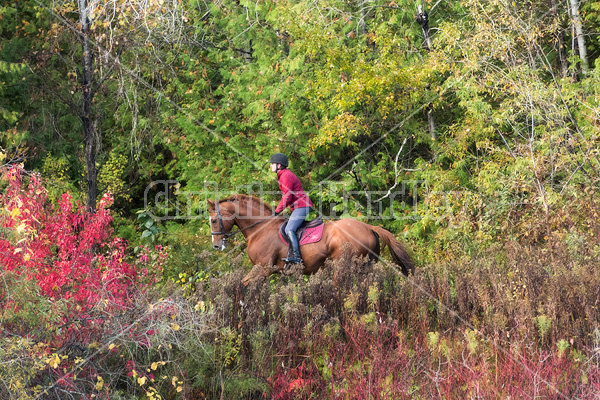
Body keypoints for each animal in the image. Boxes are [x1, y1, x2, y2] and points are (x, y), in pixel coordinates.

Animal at [207, 194, 412, 284]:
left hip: (343, 266)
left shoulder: (262, 269)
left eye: (214, 220)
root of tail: (369, 227)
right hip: (365, 266)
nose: (216, 246)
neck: (260, 228)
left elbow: (244, 286)